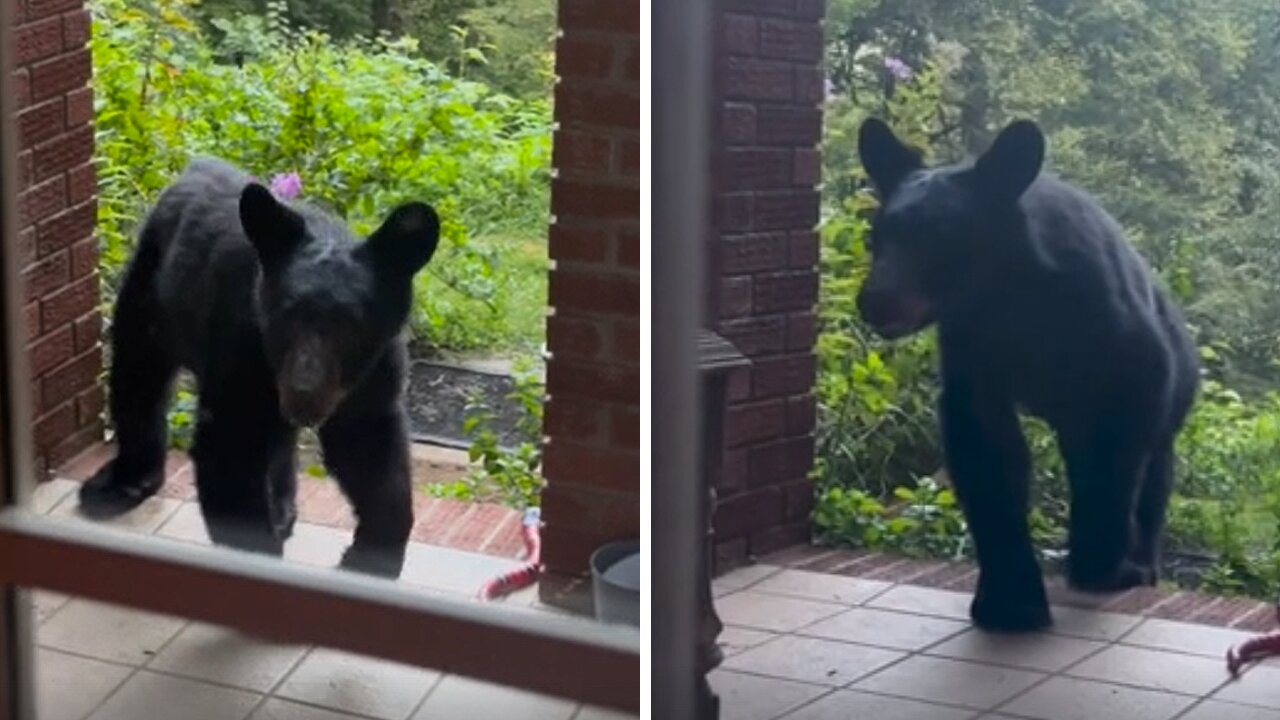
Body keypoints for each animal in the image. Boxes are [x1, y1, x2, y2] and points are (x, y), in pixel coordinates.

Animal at [81, 156, 440, 576]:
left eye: (350, 324)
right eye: (287, 314)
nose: (304, 392)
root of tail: (194, 166)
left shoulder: (373, 378)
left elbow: (371, 457)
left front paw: (367, 559)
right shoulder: (243, 350)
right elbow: (229, 454)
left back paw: (282, 508)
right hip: (150, 294)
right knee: (138, 375)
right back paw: (120, 484)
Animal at [860, 117, 1198, 627]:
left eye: (941, 234)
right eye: (877, 235)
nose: (875, 299)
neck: (1012, 298)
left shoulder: (1122, 356)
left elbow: (1114, 457)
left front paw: (1101, 563)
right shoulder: (973, 354)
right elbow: (988, 457)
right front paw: (1010, 601)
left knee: (1152, 471)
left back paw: (1137, 562)